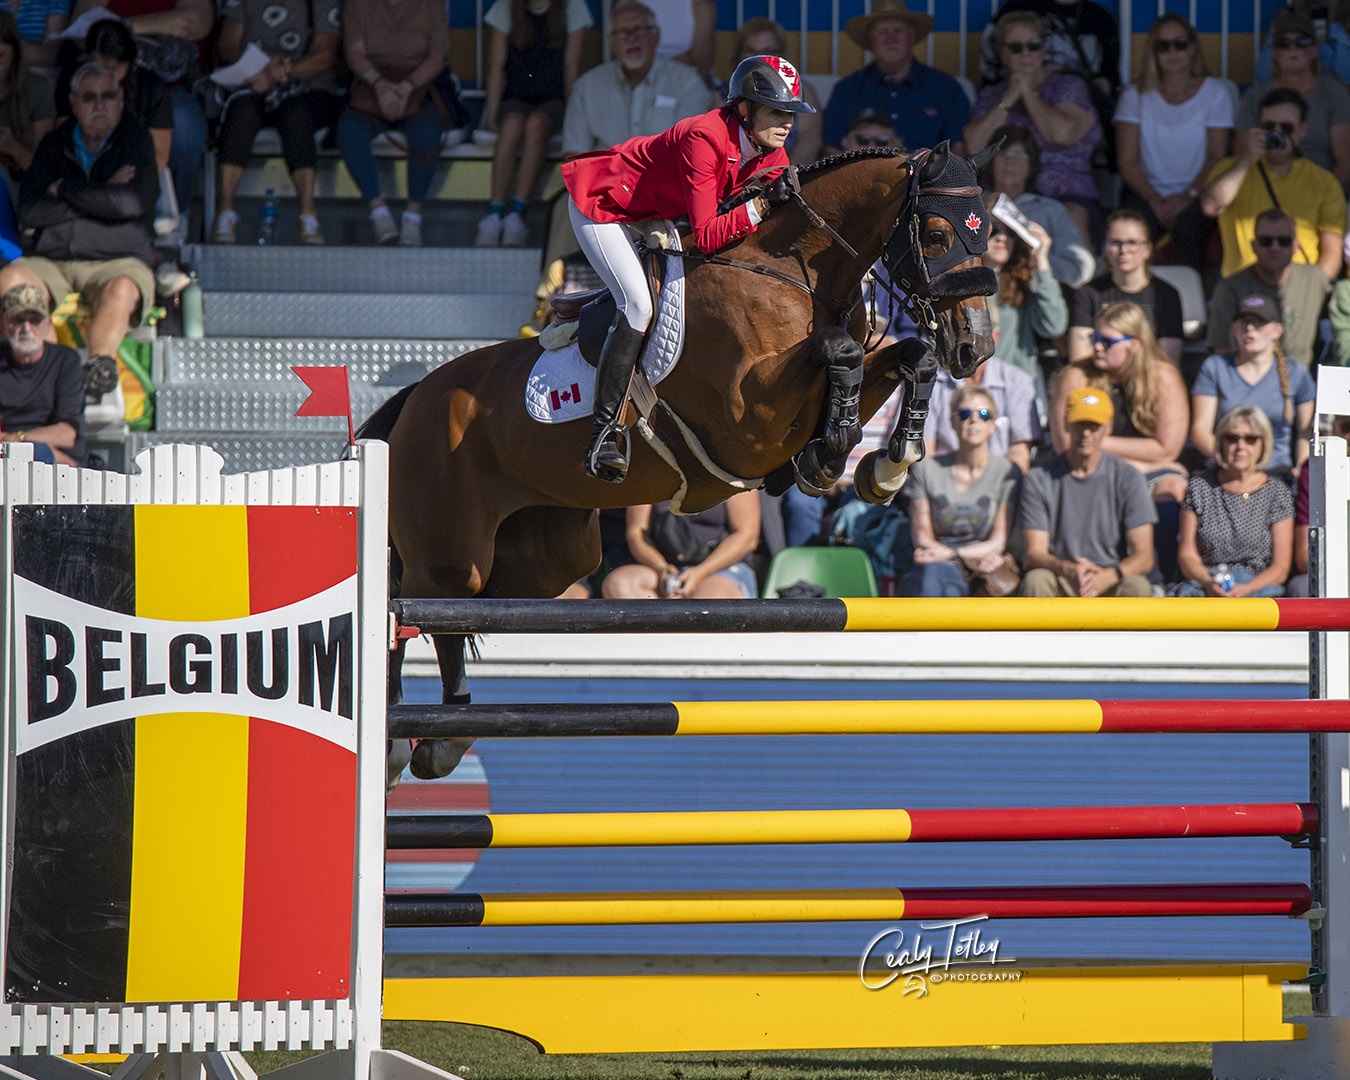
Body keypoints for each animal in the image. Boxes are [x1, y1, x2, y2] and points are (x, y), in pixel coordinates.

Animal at [364, 143, 999, 783]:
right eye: (938, 234)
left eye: (988, 232)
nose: (976, 348)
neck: (791, 275)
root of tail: (413, 398)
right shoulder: (750, 418)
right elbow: (838, 353)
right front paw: (832, 452)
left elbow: (911, 356)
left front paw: (885, 467)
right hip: (451, 549)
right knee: (414, 608)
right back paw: (412, 744)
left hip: (548, 559)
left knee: (460, 613)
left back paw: (437, 737)